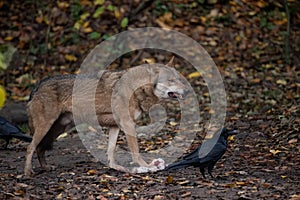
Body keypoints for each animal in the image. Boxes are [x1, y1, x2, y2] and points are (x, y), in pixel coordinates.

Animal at [24, 57, 189, 176]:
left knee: (39, 148)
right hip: (45, 128)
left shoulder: (115, 126)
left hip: (57, 130)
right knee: (30, 147)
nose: (187, 90)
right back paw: (28, 173)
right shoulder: (128, 124)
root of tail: (37, 86)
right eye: (171, 80)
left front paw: (115, 167)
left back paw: (45, 168)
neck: (136, 88)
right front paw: (146, 166)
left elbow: (111, 150)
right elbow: (135, 151)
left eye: (179, 79)